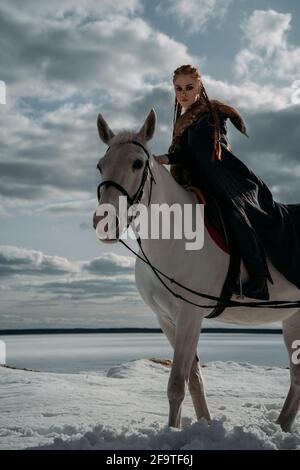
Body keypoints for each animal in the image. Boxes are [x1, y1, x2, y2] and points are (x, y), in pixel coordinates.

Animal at [92, 108, 300, 432]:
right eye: (100, 166)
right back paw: (281, 425)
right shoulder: (167, 319)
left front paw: (172, 433)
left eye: (137, 163)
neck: (173, 236)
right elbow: (193, 380)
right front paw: (203, 423)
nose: (104, 222)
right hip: (292, 320)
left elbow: (177, 382)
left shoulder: (190, 315)